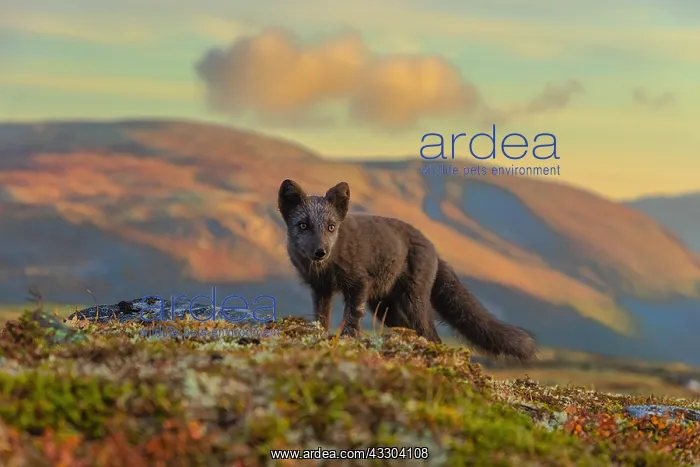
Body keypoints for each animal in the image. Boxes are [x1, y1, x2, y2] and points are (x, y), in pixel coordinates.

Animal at [277, 179, 538, 361]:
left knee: (434, 336)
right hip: (386, 309)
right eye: (303, 226)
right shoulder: (320, 289)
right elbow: (321, 317)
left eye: (331, 227)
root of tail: (433, 248)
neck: (326, 267)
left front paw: (349, 340)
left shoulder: (359, 283)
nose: (320, 251)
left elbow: (352, 317)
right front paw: (318, 336)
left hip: (413, 302)